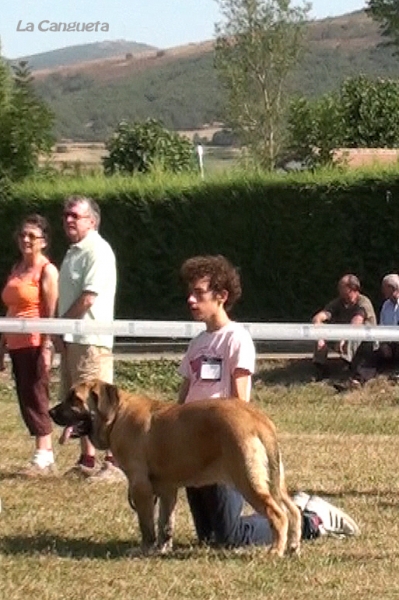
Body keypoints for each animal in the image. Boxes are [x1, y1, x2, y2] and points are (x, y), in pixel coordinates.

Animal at [49, 382, 300, 556]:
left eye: (75, 399)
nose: (51, 412)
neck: (117, 415)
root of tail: (257, 419)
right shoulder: (167, 489)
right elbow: (165, 522)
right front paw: (162, 548)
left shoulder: (140, 487)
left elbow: (147, 524)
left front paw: (145, 549)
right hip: (275, 483)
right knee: (294, 510)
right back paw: (293, 547)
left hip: (248, 481)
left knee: (278, 515)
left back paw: (275, 551)